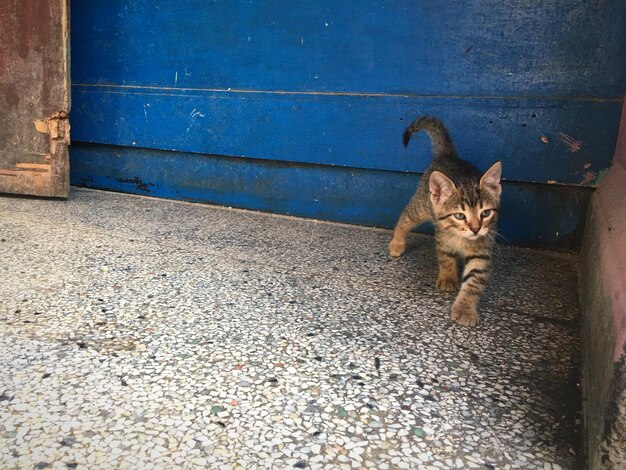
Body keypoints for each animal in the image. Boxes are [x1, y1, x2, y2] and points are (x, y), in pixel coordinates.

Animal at [388, 115, 500, 324]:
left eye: (485, 213)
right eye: (459, 215)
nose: (475, 229)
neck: (463, 239)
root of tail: (449, 156)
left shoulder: (482, 251)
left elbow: (474, 281)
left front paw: (465, 309)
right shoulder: (442, 237)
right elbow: (446, 258)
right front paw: (448, 279)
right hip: (423, 205)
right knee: (406, 216)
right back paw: (397, 243)